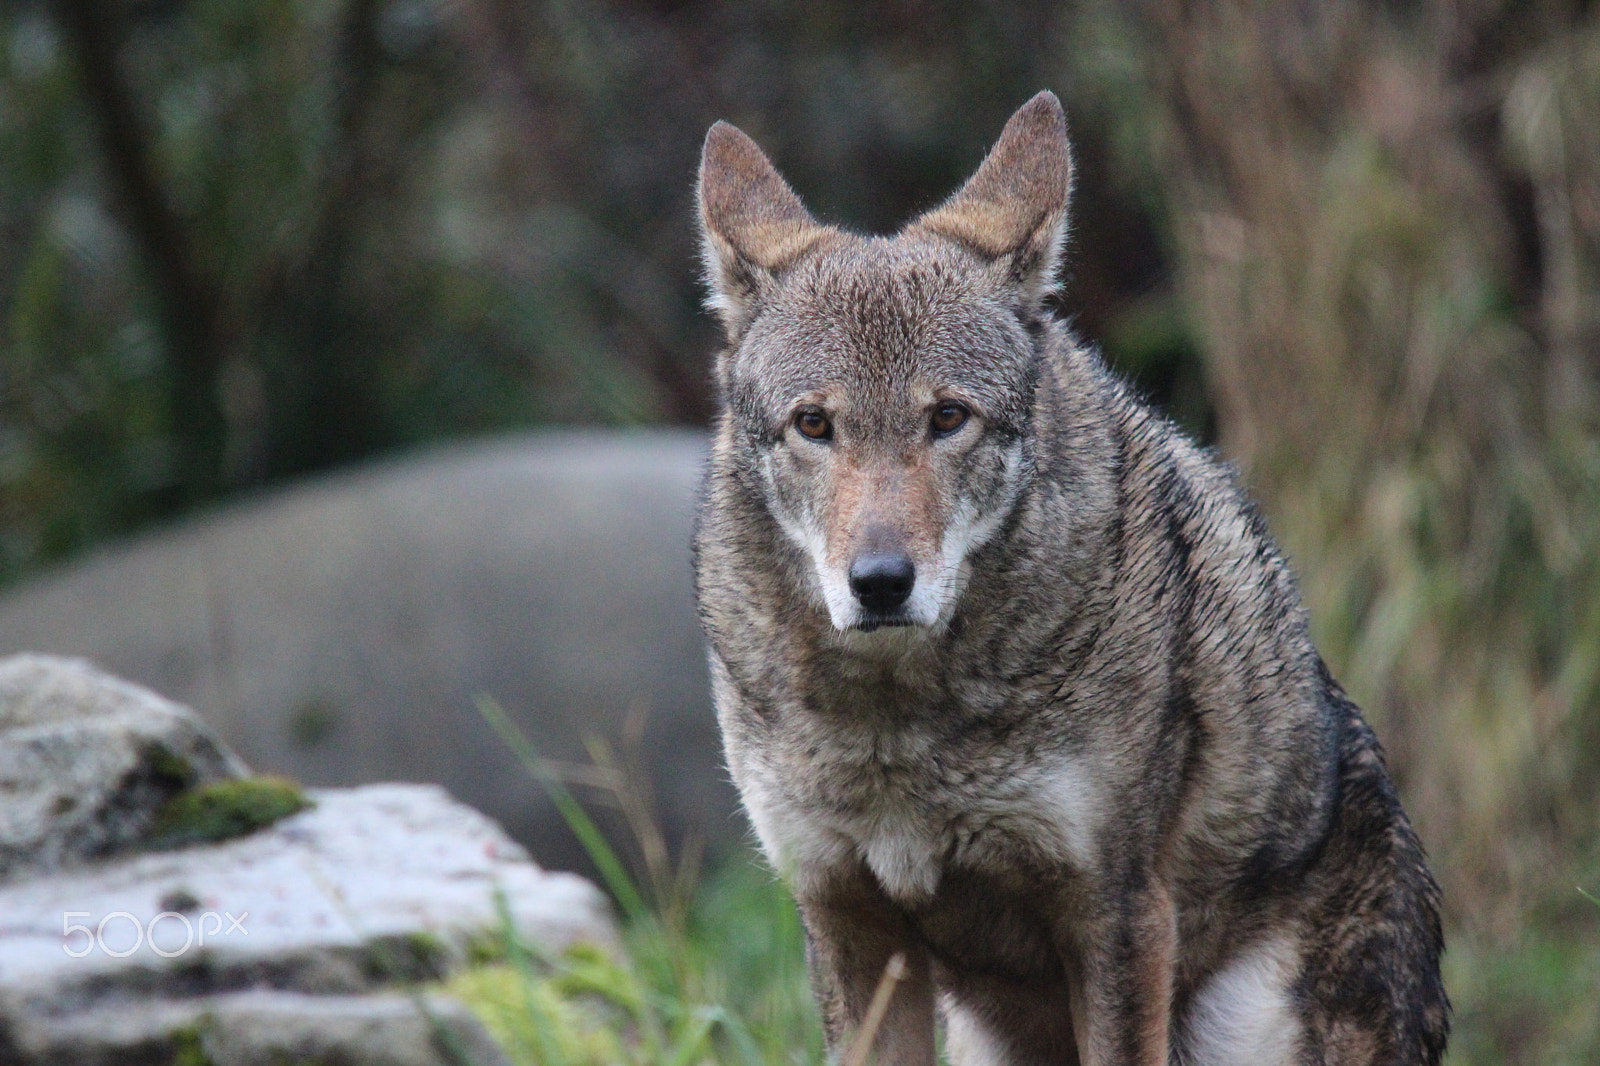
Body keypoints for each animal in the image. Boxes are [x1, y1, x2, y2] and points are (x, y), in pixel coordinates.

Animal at [692, 92, 1448, 1066]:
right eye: (814, 425)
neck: (899, 728)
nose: (881, 582)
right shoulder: (847, 918)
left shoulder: (1116, 914)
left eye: (949, 418)